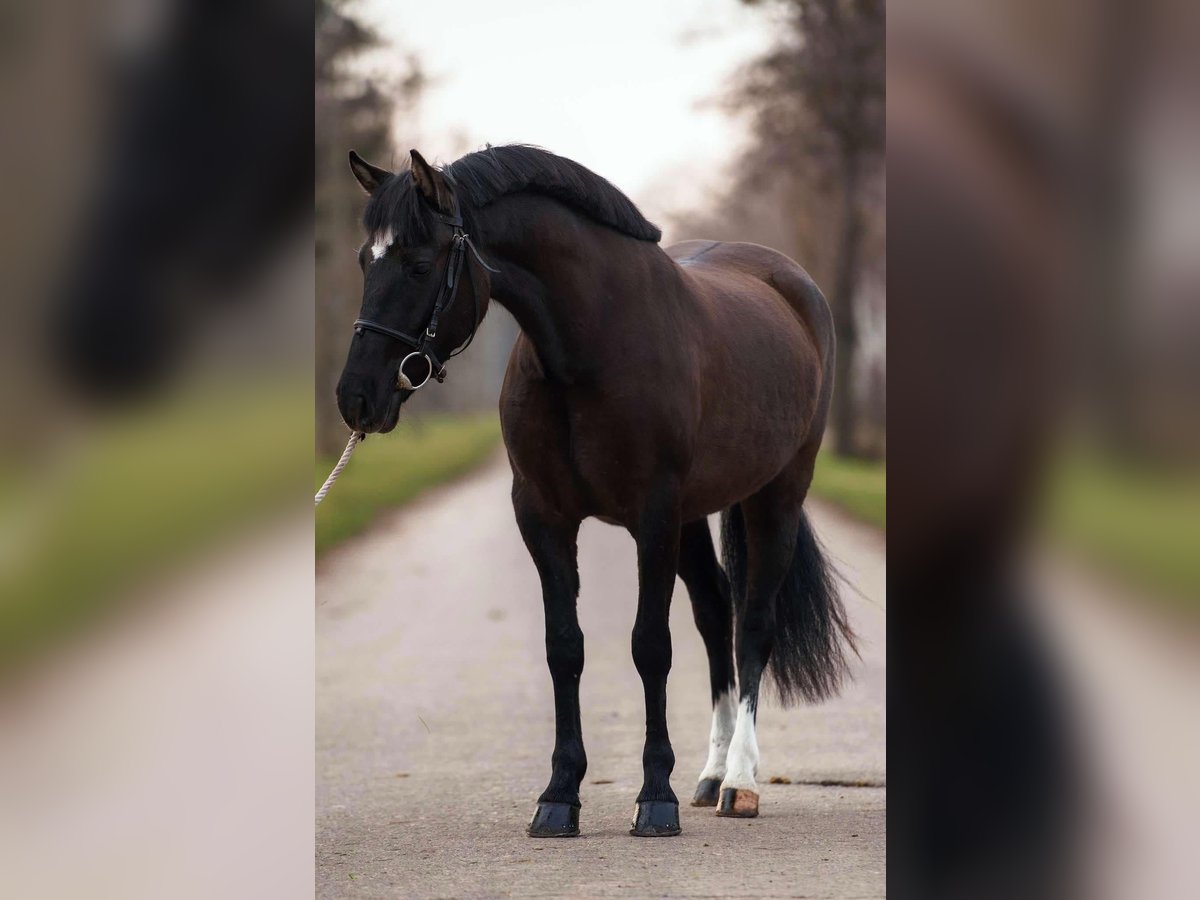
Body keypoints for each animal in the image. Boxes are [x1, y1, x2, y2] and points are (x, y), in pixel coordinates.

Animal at [338, 144, 859, 844]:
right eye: (365, 260)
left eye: (419, 264)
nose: (356, 398)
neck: (593, 344)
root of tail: (794, 286)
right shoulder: (544, 517)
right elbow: (565, 647)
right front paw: (559, 796)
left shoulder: (653, 517)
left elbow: (650, 647)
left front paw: (655, 798)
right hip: (696, 517)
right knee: (715, 611)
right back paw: (711, 774)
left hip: (776, 494)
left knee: (752, 623)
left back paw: (740, 783)